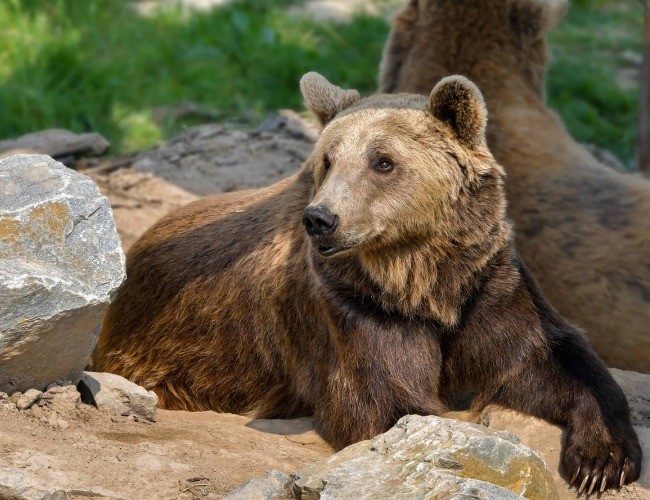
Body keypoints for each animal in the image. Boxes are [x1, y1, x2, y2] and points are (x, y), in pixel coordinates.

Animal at [95, 73, 641, 493]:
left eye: (383, 161)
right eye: (328, 160)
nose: (321, 220)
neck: (422, 280)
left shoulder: (486, 287)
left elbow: (547, 357)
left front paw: (603, 460)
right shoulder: (353, 307)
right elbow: (389, 402)